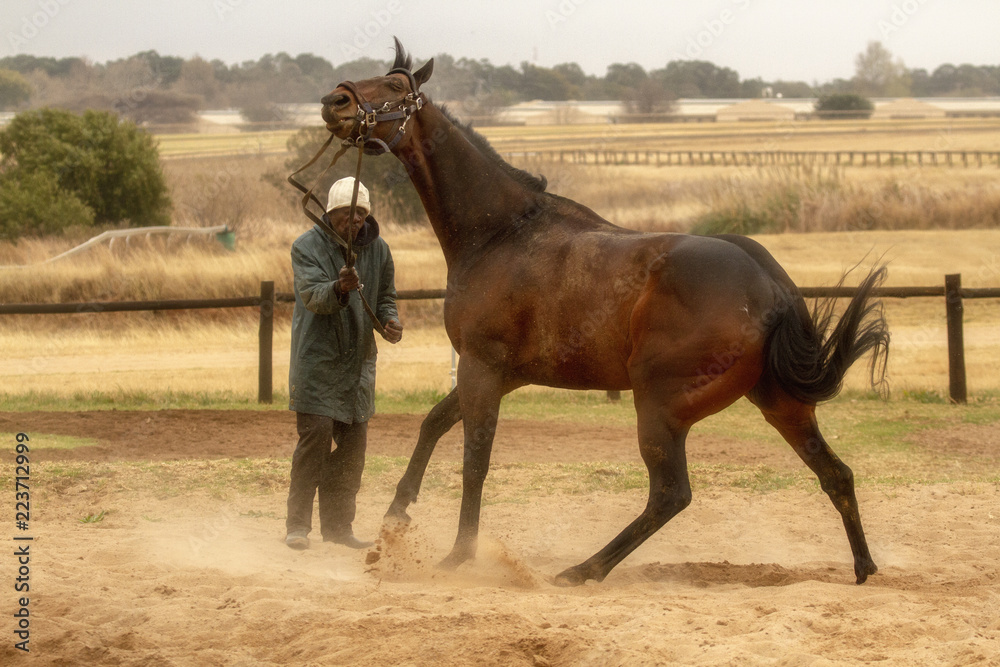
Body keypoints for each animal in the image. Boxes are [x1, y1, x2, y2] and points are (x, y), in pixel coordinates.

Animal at [318, 40, 890, 586]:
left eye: (394, 86)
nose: (335, 100)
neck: (502, 232)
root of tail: (770, 285)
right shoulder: (502, 375)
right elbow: (433, 424)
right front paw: (396, 516)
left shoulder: (483, 368)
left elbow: (473, 463)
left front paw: (457, 555)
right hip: (779, 402)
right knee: (835, 474)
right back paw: (864, 567)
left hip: (659, 407)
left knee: (670, 495)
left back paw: (583, 569)